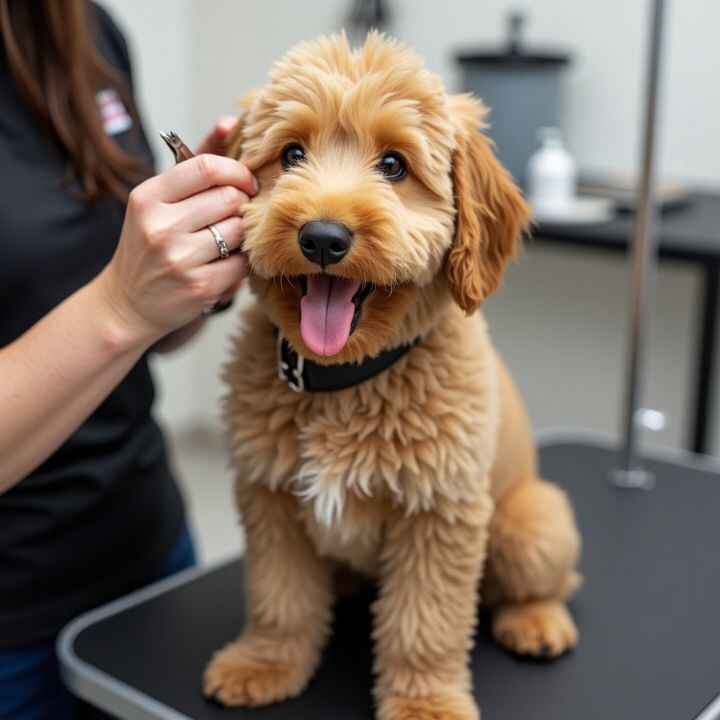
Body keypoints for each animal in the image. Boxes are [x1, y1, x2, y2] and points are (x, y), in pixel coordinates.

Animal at [204, 31, 580, 720]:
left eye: (395, 166)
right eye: (292, 154)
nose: (323, 238)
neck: (344, 382)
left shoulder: (439, 513)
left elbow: (424, 624)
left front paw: (425, 703)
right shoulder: (269, 496)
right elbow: (278, 598)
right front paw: (264, 663)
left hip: (531, 523)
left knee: (551, 579)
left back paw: (536, 621)